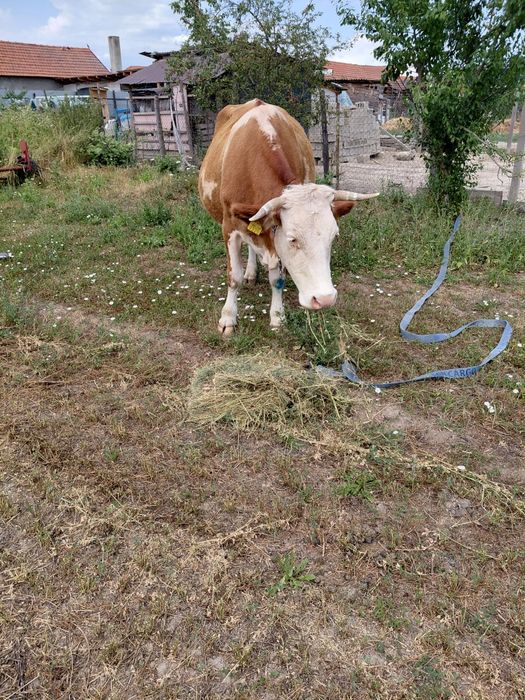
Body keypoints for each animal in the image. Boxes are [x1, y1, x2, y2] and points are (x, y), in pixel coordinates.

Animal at [198, 99, 378, 336]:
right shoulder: (229, 227)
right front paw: (228, 318)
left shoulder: (273, 237)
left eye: (334, 237)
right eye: (293, 239)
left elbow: (277, 279)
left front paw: (277, 316)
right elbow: (233, 276)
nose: (325, 299)